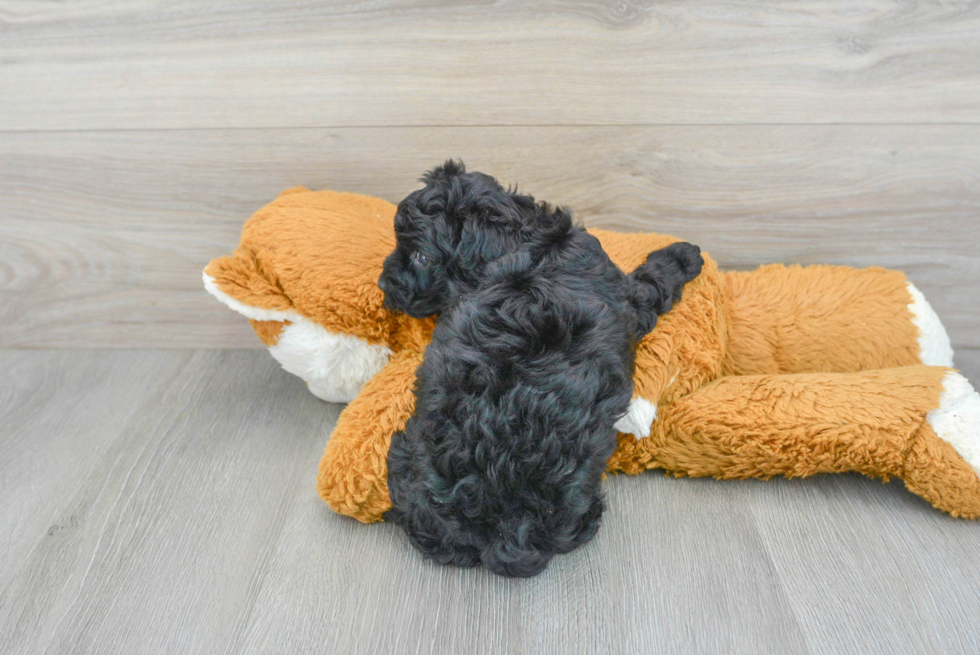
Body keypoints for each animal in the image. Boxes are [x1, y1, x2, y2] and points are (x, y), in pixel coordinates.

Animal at [378, 163, 704, 580]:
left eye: (420, 256)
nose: (383, 282)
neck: (527, 240)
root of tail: (501, 524)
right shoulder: (631, 301)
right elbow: (654, 281)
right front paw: (683, 254)